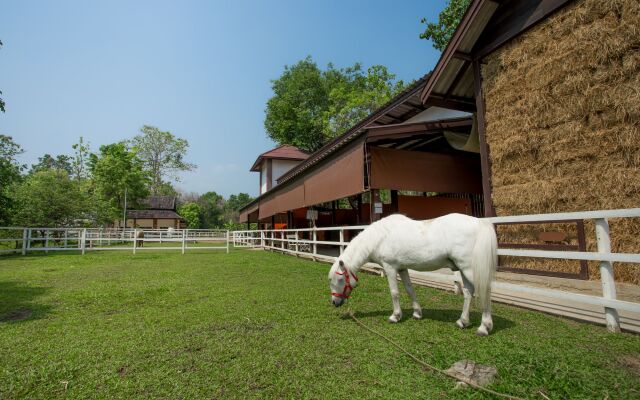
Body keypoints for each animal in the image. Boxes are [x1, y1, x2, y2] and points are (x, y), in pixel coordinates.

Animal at [330, 214, 500, 336]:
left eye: (340, 279)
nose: (334, 302)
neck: (381, 238)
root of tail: (480, 223)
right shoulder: (402, 269)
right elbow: (409, 289)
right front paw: (417, 313)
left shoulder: (390, 268)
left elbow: (394, 293)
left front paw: (395, 316)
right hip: (464, 269)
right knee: (468, 292)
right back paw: (462, 321)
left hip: (469, 269)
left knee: (484, 291)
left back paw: (484, 327)